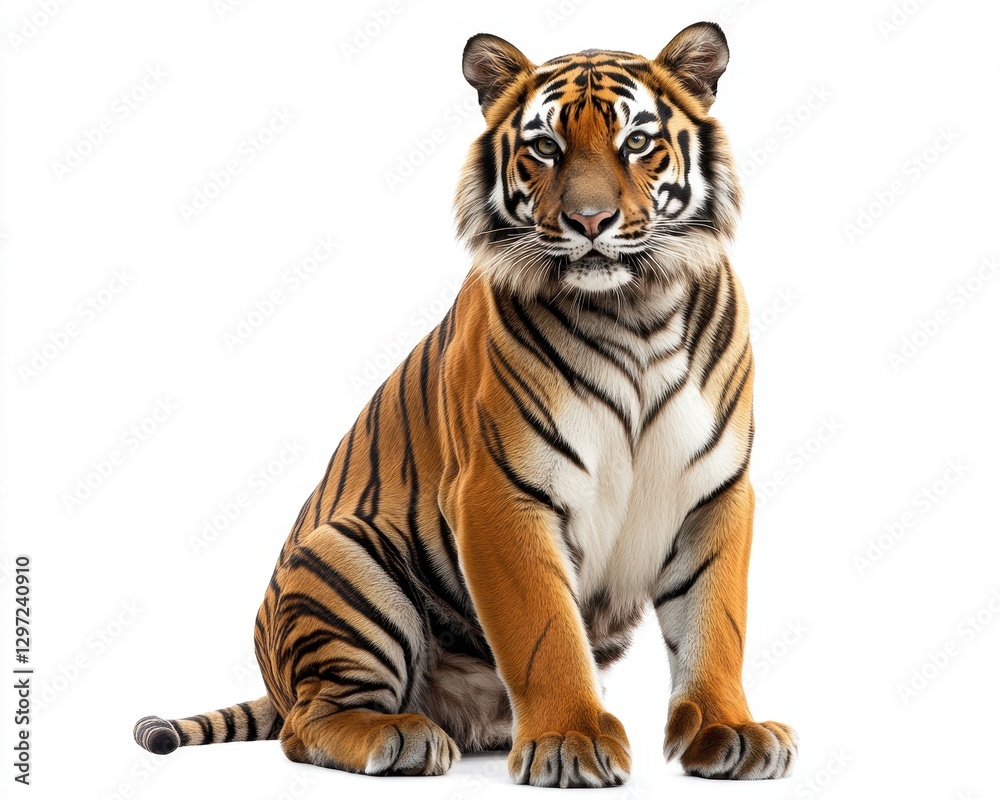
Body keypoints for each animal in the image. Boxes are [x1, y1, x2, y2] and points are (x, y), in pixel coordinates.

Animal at [134, 22, 797, 788]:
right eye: (546, 147)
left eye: (636, 141)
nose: (590, 220)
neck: (634, 309)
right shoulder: (498, 491)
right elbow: (544, 630)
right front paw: (570, 740)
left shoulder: (715, 490)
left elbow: (714, 623)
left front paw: (731, 733)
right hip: (345, 565)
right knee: (306, 726)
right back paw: (401, 737)